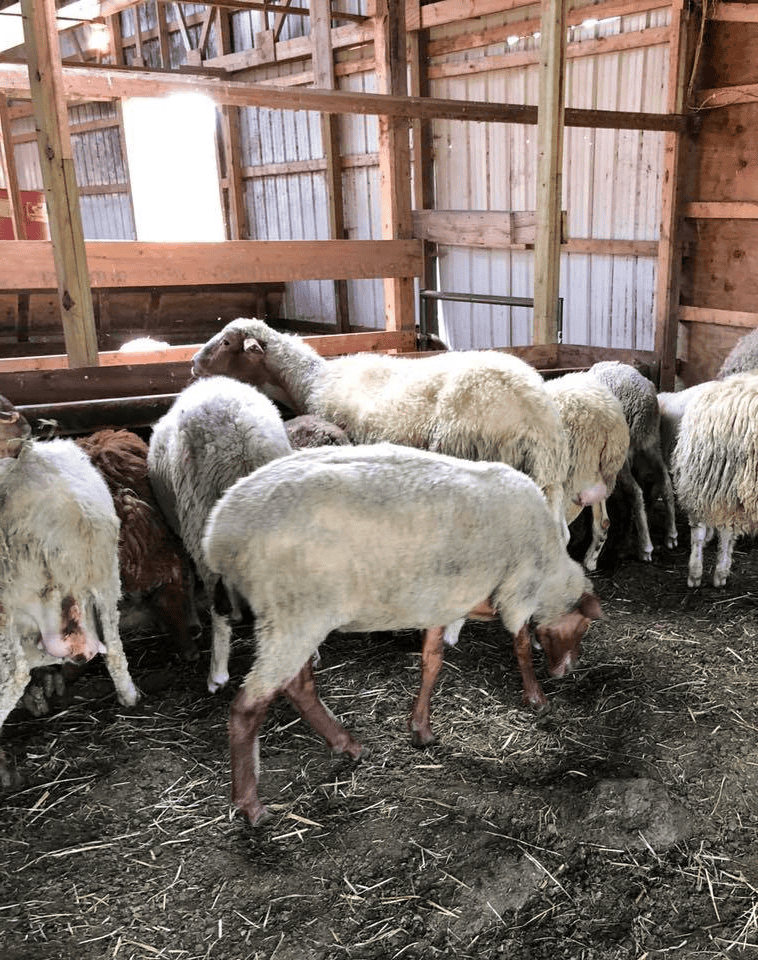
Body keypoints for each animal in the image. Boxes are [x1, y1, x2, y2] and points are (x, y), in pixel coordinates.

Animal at [202, 442, 603, 826]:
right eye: (584, 626)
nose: (566, 670)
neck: (548, 568)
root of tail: (219, 534)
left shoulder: (442, 600)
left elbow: (432, 663)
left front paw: (420, 728)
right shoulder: (517, 589)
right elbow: (520, 647)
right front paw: (536, 697)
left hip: (295, 616)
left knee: (299, 686)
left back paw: (347, 745)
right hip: (295, 614)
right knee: (248, 708)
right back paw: (250, 805)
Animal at [544, 372, 630, 572]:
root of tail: (611, 420)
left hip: (570, 478)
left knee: (560, 534)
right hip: (598, 477)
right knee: (603, 523)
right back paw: (590, 561)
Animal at [588, 360, 678, 559]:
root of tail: (643, 400)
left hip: (623, 451)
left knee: (635, 493)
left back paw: (645, 546)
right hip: (652, 442)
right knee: (665, 482)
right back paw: (671, 535)